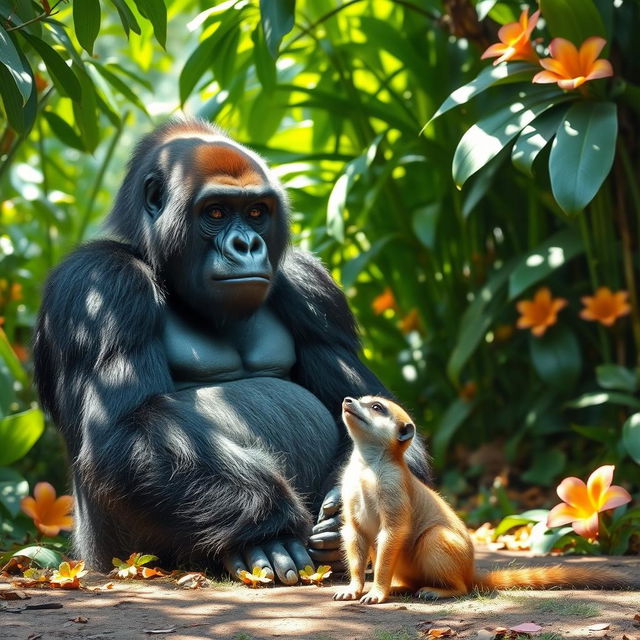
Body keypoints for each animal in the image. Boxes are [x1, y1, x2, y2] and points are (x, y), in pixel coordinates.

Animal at [33, 120, 430, 584]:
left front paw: (345, 510)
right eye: (217, 212)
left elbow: (367, 407)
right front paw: (271, 528)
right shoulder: (98, 285)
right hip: (114, 559)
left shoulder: (311, 284)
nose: (247, 245)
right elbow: (125, 427)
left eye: (256, 212)